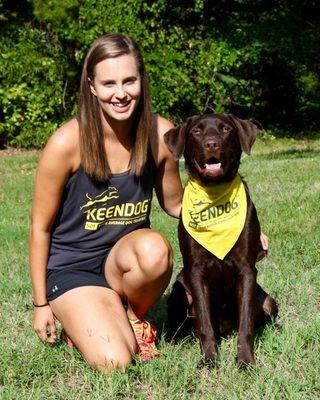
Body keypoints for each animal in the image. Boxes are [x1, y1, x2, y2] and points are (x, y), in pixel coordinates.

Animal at [165, 114, 278, 368]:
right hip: (179, 292)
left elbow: (246, 324)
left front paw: (245, 360)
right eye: (196, 131)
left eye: (226, 129)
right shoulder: (195, 271)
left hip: (268, 301)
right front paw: (209, 359)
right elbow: (205, 324)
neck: (214, 196)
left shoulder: (246, 269)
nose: (211, 144)